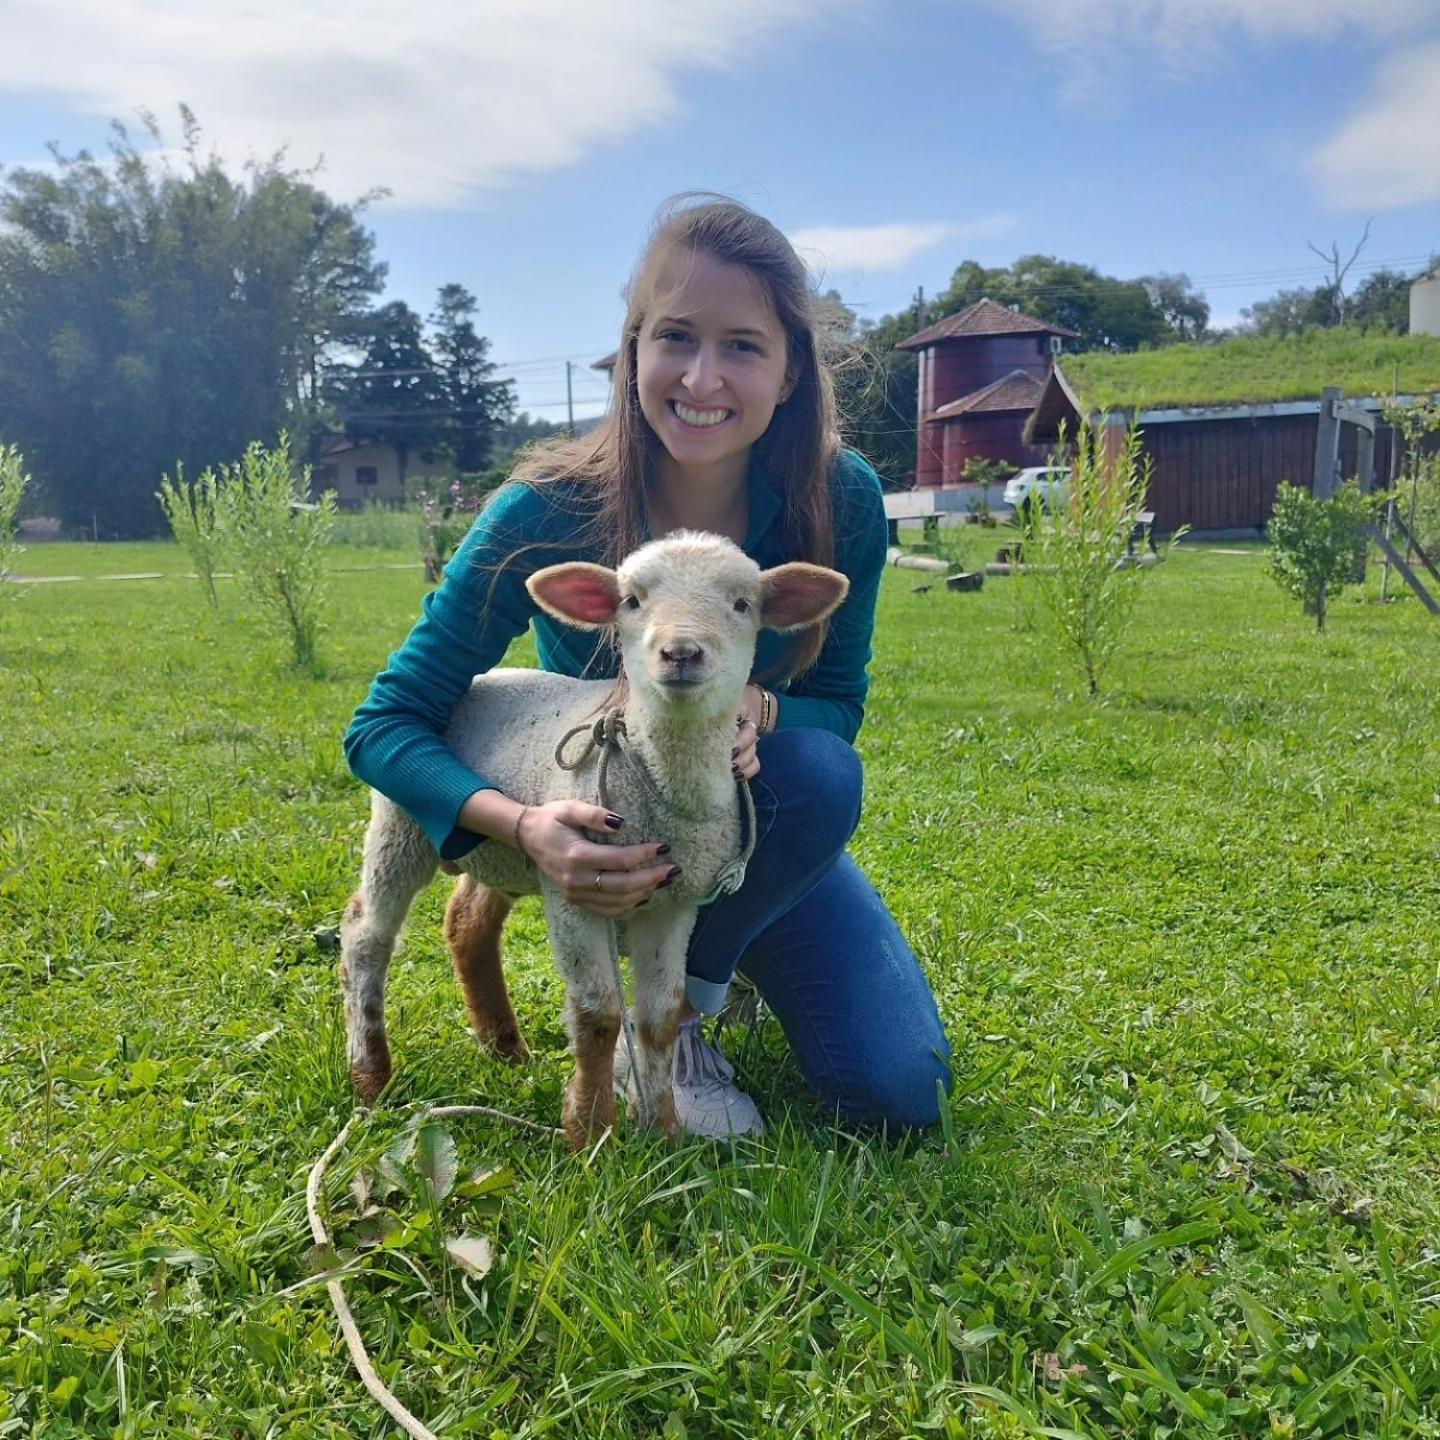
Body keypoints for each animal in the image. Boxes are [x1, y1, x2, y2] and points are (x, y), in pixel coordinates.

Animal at [338, 529, 846, 1146]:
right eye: (631, 600)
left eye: (742, 604)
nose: (680, 653)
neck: (659, 792)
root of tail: (484, 678)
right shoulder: (574, 892)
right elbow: (598, 1016)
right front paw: (591, 1135)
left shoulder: (674, 904)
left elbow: (660, 1018)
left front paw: (663, 1131)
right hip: (401, 822)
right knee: (366, 934)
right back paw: (372, 1077)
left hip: (505, 850)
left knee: (468, 922)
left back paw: (505, 1047)